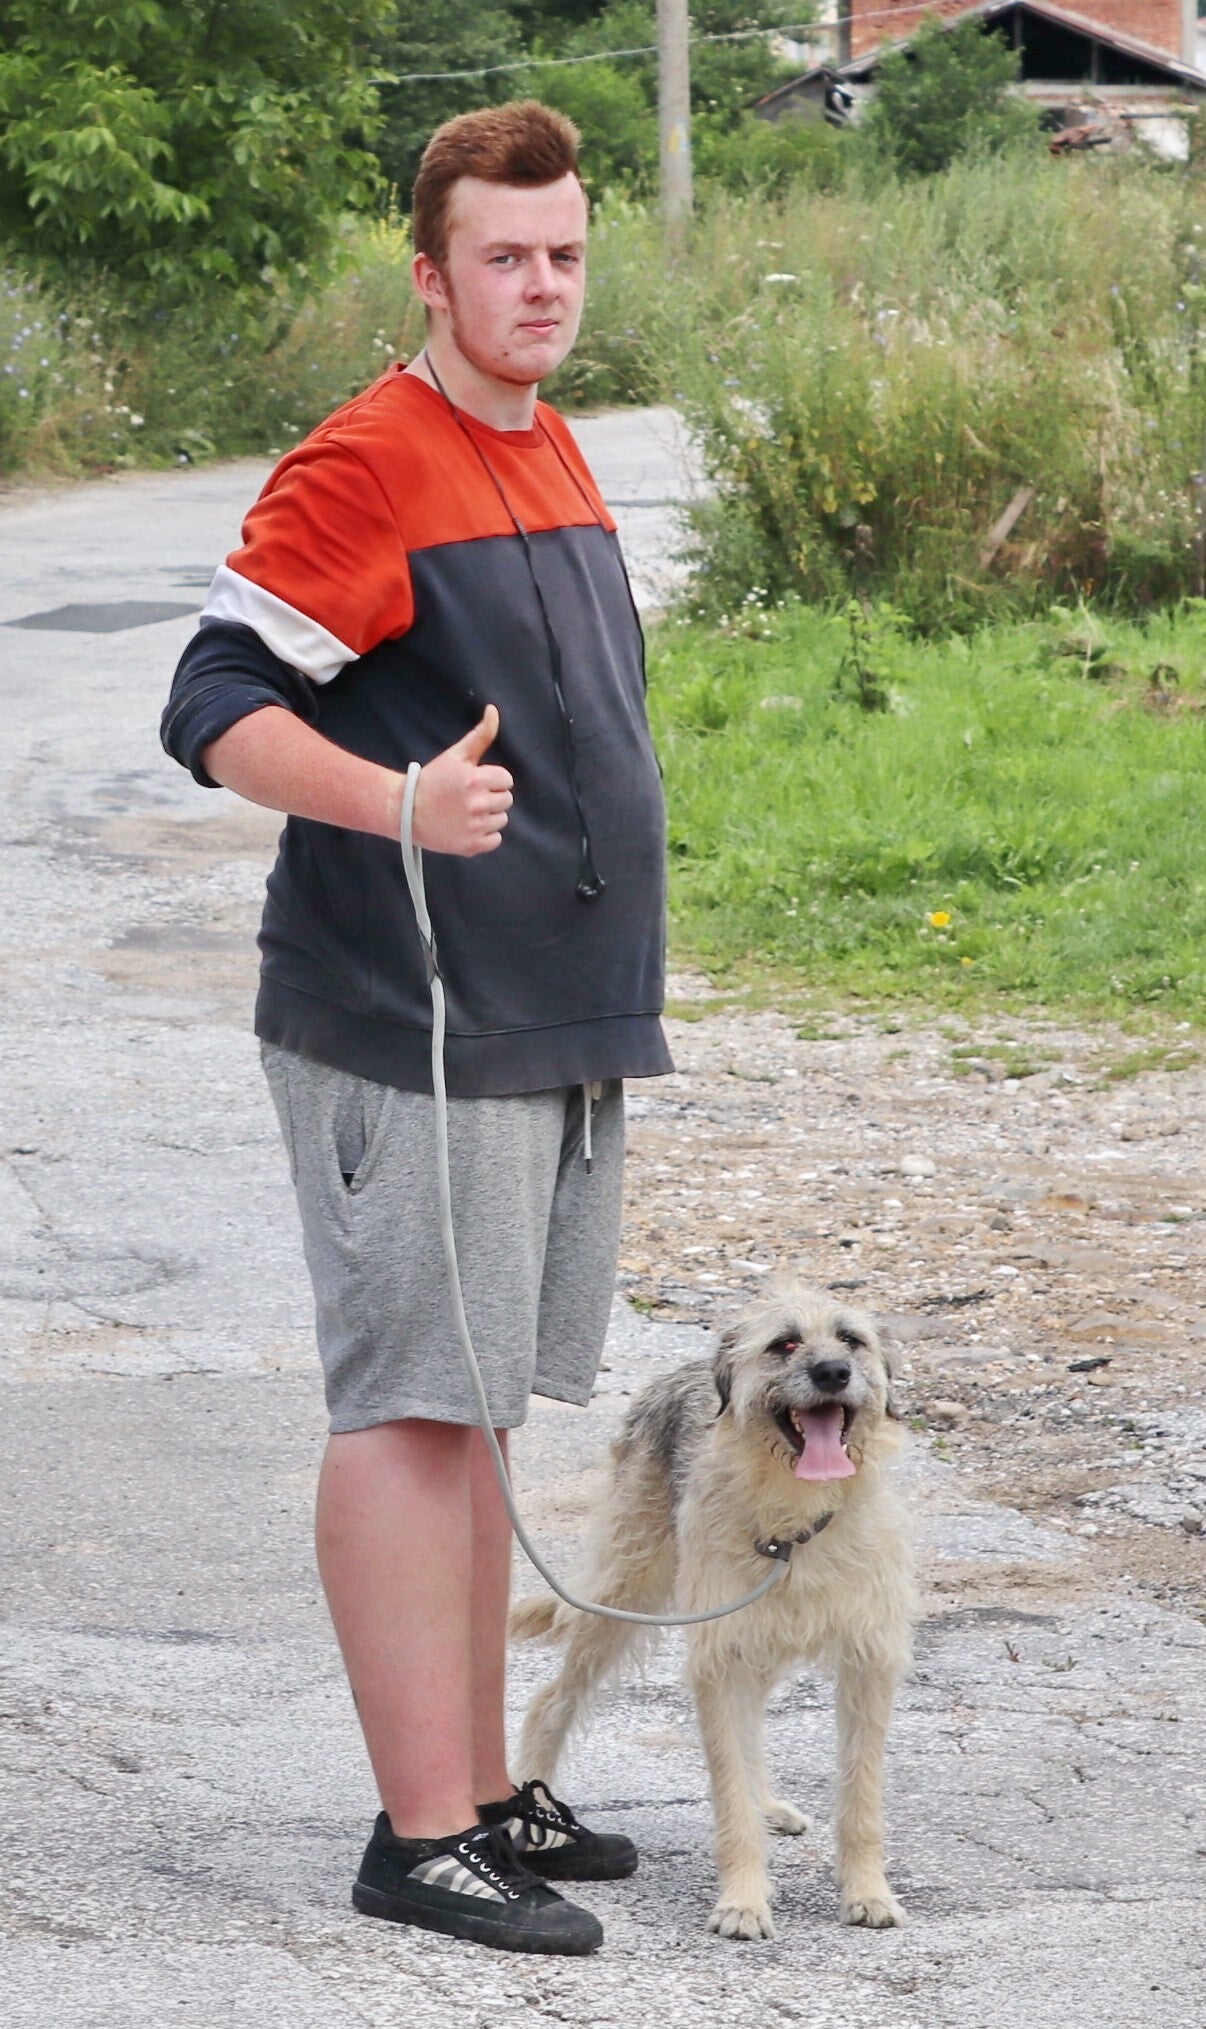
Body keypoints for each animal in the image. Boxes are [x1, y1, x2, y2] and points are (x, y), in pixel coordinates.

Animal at [511, 1280, 915, 1940]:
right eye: (784, 1344)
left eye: (851, 1339)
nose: (833, 1372)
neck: (796, 1522)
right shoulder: (719, 1658)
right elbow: (729, 1792)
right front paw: (743, 1901)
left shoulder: (868, 1661)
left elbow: (861, 1796)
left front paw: (867, 1892)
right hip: (627, 1594)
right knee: (552, 1700)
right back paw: (531, 1807)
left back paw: (767, 1803)